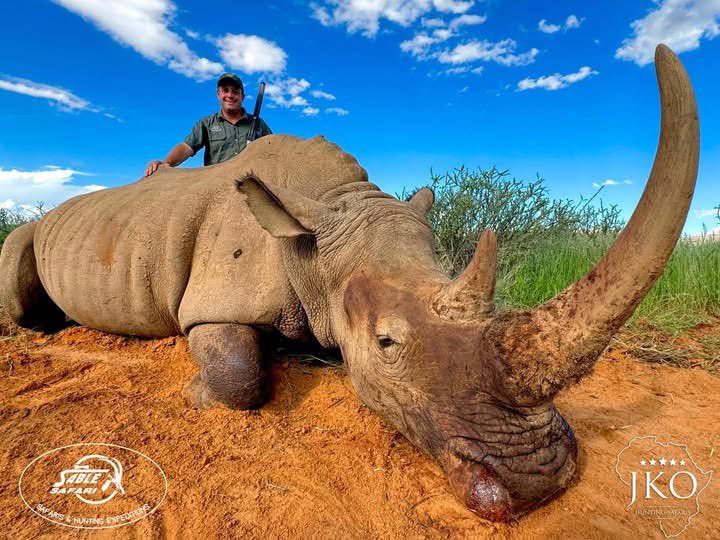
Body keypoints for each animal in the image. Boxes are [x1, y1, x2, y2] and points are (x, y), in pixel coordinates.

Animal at [0, 45, 698, 521]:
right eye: (387, 345)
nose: (541, 481)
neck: (328, 223)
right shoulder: (213, 301)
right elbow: (239, 376)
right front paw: (196, 393)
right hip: (36, 232)